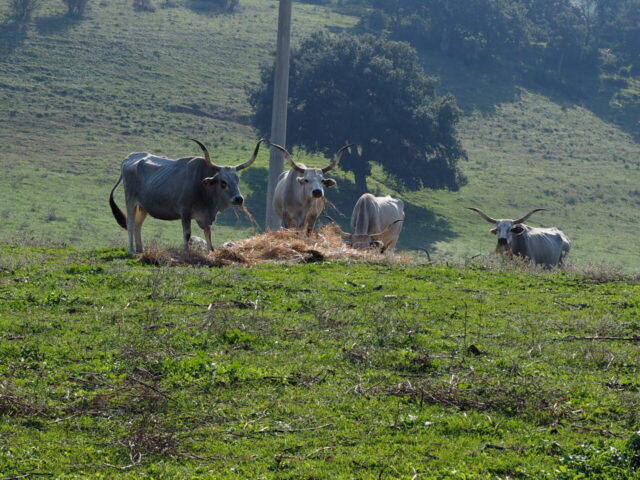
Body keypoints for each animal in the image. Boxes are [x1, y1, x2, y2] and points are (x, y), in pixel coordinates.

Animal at [109, 138, 264, 253]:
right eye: (223, 182)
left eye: (237, 180)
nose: (239, 199)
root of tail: (130, 157)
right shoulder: (185, 212)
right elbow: (187, 234)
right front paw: (186, 252)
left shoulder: (206, 217)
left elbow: (208, 233)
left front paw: (211, 251)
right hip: (130, 201)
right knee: (130, 223)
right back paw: (132, 250)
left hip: (143, 206)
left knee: (137, 225)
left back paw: (141, 250)